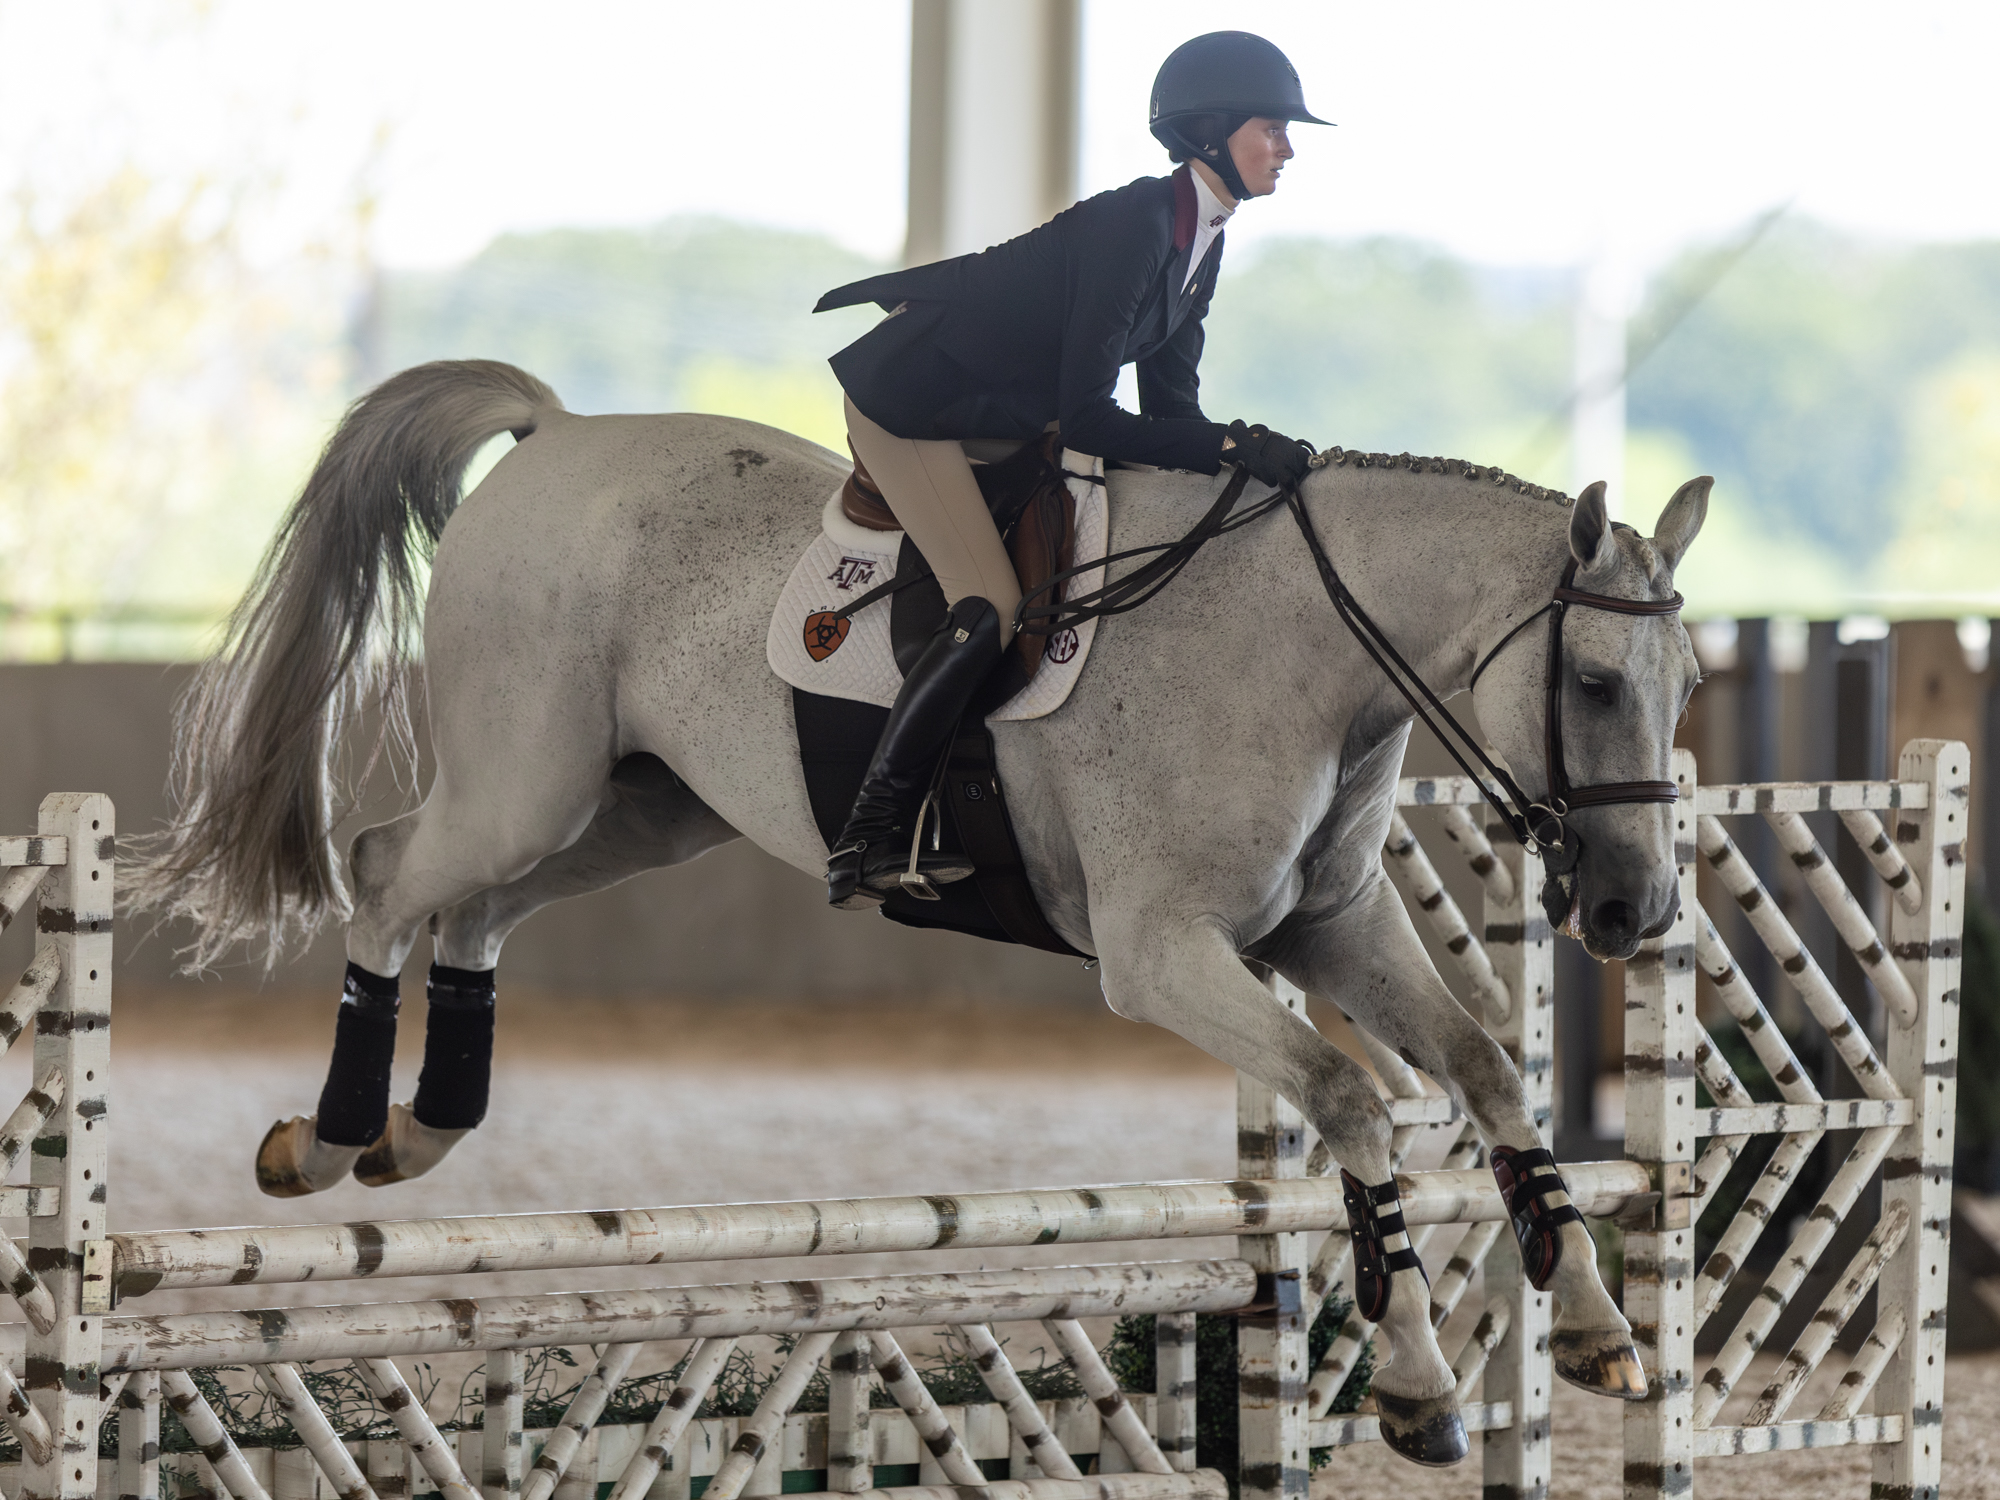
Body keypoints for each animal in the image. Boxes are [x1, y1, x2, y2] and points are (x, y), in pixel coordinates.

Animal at [133, 362, 1712, 1472]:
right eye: (1590, 685)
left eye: (1687, 683)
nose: (1631, 908)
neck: (1306, 660)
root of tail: (557, 433)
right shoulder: (1162, 958)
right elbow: (1353, 1098)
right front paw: (1420, 1394)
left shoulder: (1327, 928)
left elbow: (1489, 1072)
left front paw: (1600, 1335)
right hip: (529, 780)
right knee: (387, 867)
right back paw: (329, 1135)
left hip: (638, 807)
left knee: (479, 912)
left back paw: (420, 1130)